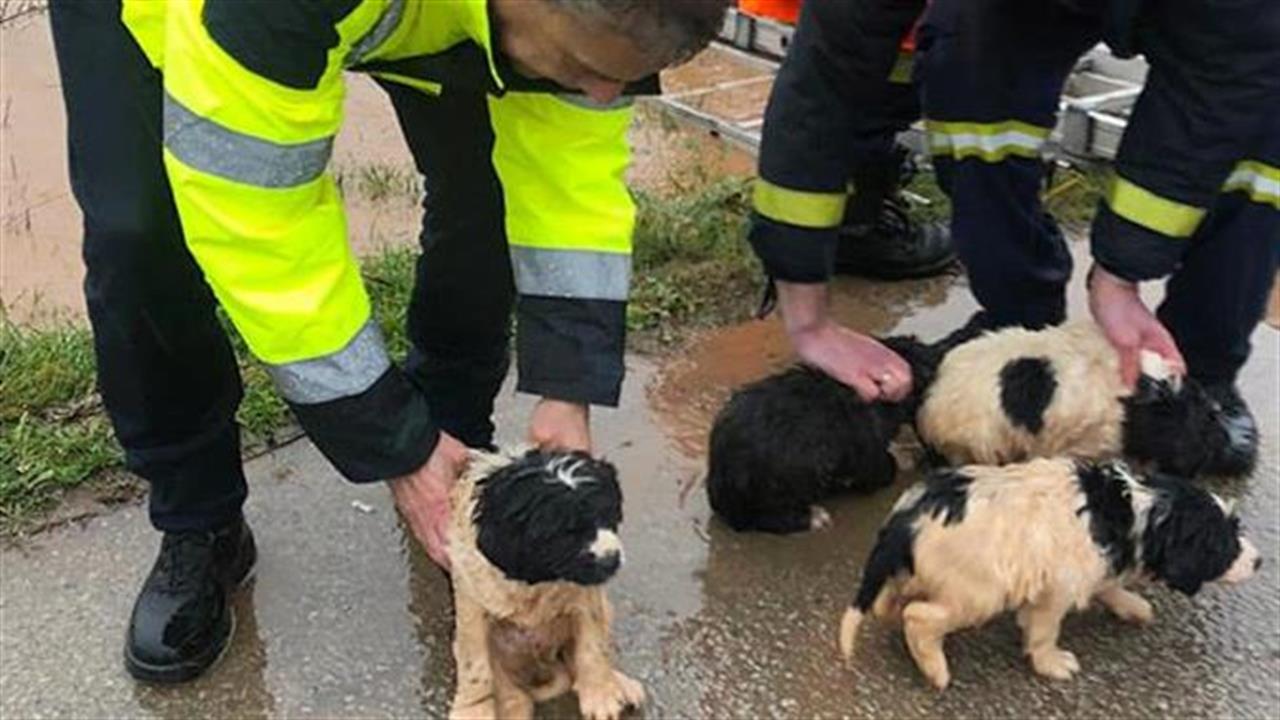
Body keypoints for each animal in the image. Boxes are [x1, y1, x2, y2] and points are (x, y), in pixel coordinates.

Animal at [450, 445, 650, 712]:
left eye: (610, 515)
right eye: (566, 533)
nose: (612, 560)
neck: (537, 578)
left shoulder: (585, 596)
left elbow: (592, 644)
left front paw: (601, 695)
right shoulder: (472, 599)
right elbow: (475, 664)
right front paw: (473, 711)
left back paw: (620, 683)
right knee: (510, 689)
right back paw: (514, 705)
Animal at [839, 456, 1259, 686]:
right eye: (1223, 544)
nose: (1259, 562)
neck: (1134, 512)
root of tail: (905, 520)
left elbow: (1107, 586)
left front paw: (1131, 605)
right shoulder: (1056, 589)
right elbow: (1043, 631)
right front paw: (1051, 664)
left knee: (889, 599)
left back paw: (893, 612)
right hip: (978, 592)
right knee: (920, 618)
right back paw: (934, 669)